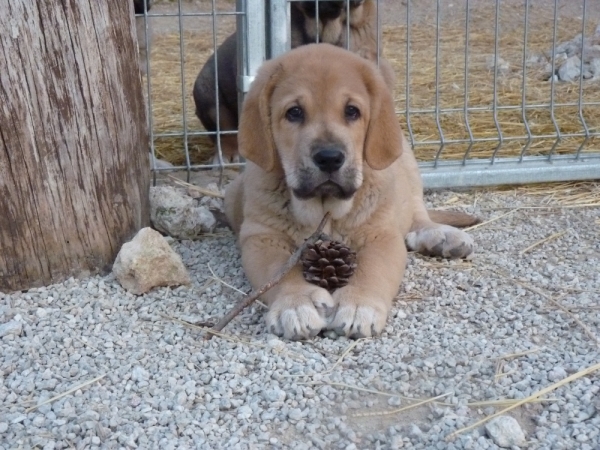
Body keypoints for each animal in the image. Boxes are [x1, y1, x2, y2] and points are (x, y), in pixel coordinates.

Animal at [225, 45, 478, 342]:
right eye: (294, 112)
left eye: (352, 111)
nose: (329, 158)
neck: (326, 209)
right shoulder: (262, 237)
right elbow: (278, 272)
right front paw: (295, 304)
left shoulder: (381, 235)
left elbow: (373, 270)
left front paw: (359, 305)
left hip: (407, 164)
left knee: (416, 214)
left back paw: (440, 236)